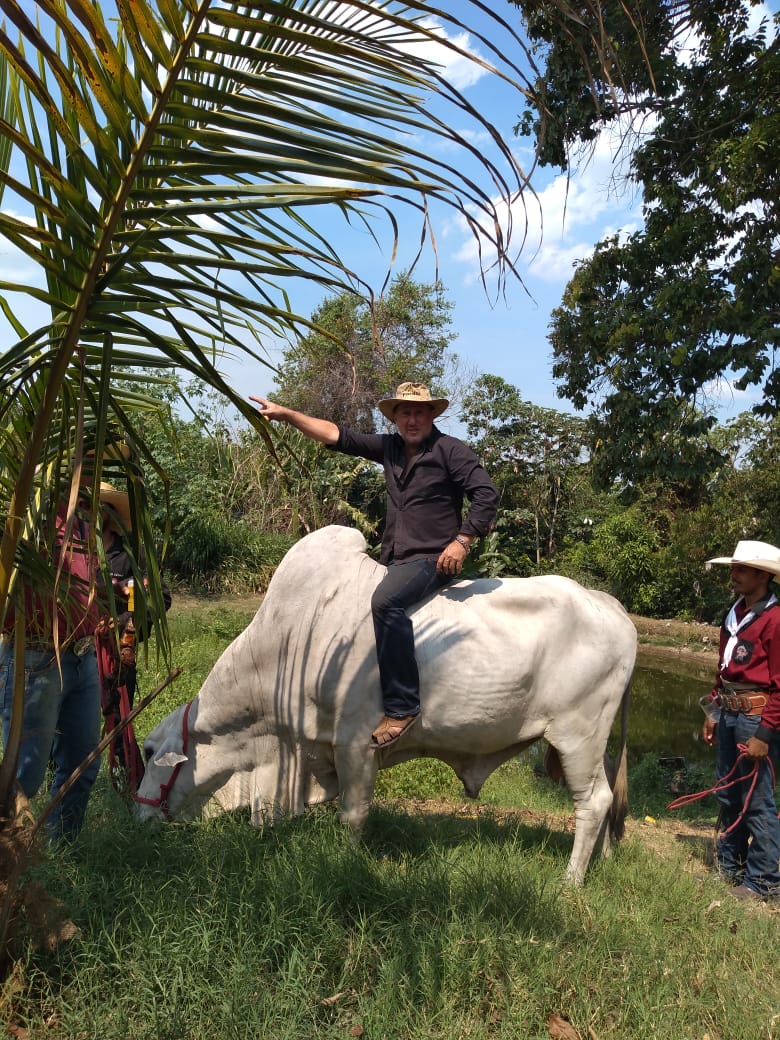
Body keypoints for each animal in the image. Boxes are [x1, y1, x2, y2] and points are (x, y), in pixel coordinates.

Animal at [136, 525, 636, 884]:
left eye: (148, 751)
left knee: (594, 801)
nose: (137, 816)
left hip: (577, 735)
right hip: (595, 741)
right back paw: (604, 861)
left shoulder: (356, 743)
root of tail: (612, 607)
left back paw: (571, 880)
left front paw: (345, 862)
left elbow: (352, 814)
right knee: (609, 795)